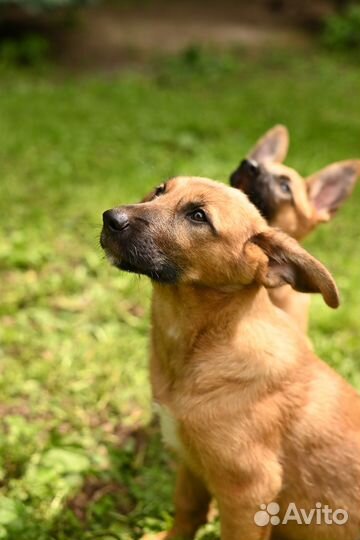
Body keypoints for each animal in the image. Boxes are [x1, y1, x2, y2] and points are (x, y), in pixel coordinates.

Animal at [100, 177, 360, 540]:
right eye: (160, 190)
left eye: (198, 216)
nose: (110, 218)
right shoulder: (191, 461)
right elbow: (187, 510)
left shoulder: (249, 490)